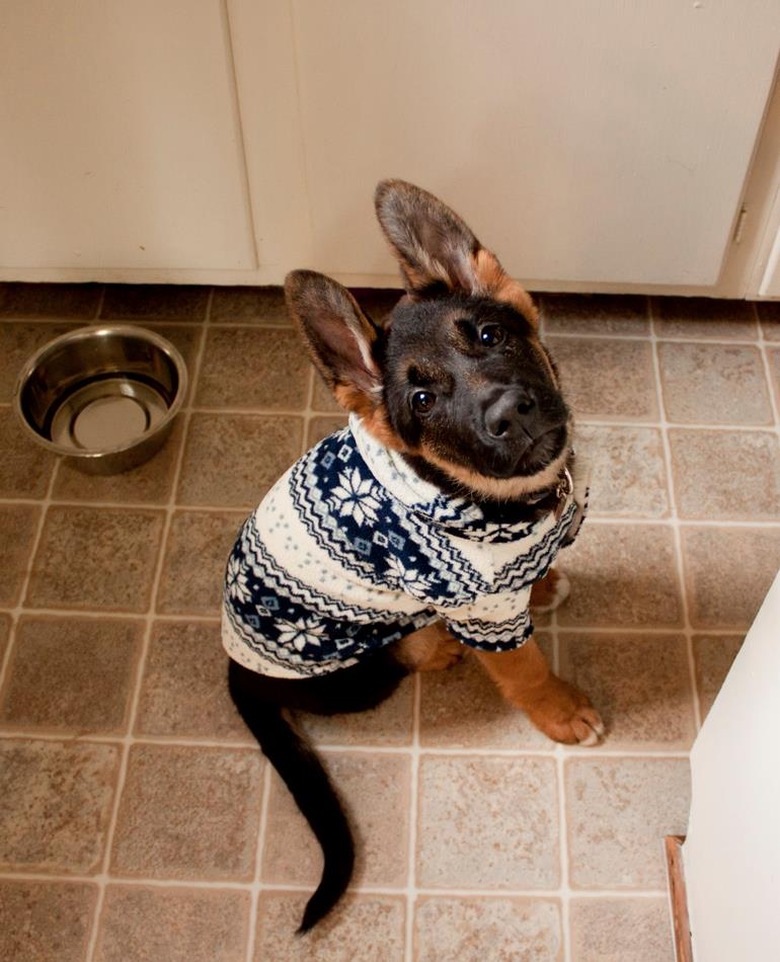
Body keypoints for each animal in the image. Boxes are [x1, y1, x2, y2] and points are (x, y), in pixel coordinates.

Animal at [221, 180, 604, 928]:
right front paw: (561, 712)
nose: (508, 413)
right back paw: (437, 647)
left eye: (487, 335)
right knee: (409, 654)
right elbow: (526, 670)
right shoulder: (486, 614)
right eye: (422, 399)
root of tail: (237, 671)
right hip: (368, 662)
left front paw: (546, 585)